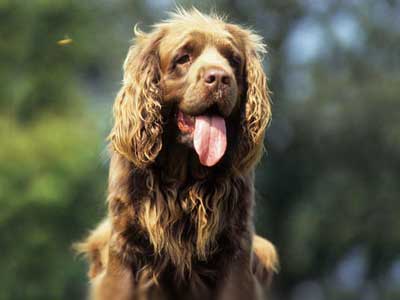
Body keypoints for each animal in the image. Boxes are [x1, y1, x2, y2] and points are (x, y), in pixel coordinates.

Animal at [77, 9, 278, 300]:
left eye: (233, 60)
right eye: (183, 58)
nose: (220, 78)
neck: (184, 180)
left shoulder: (235, 249)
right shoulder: (124, 247)